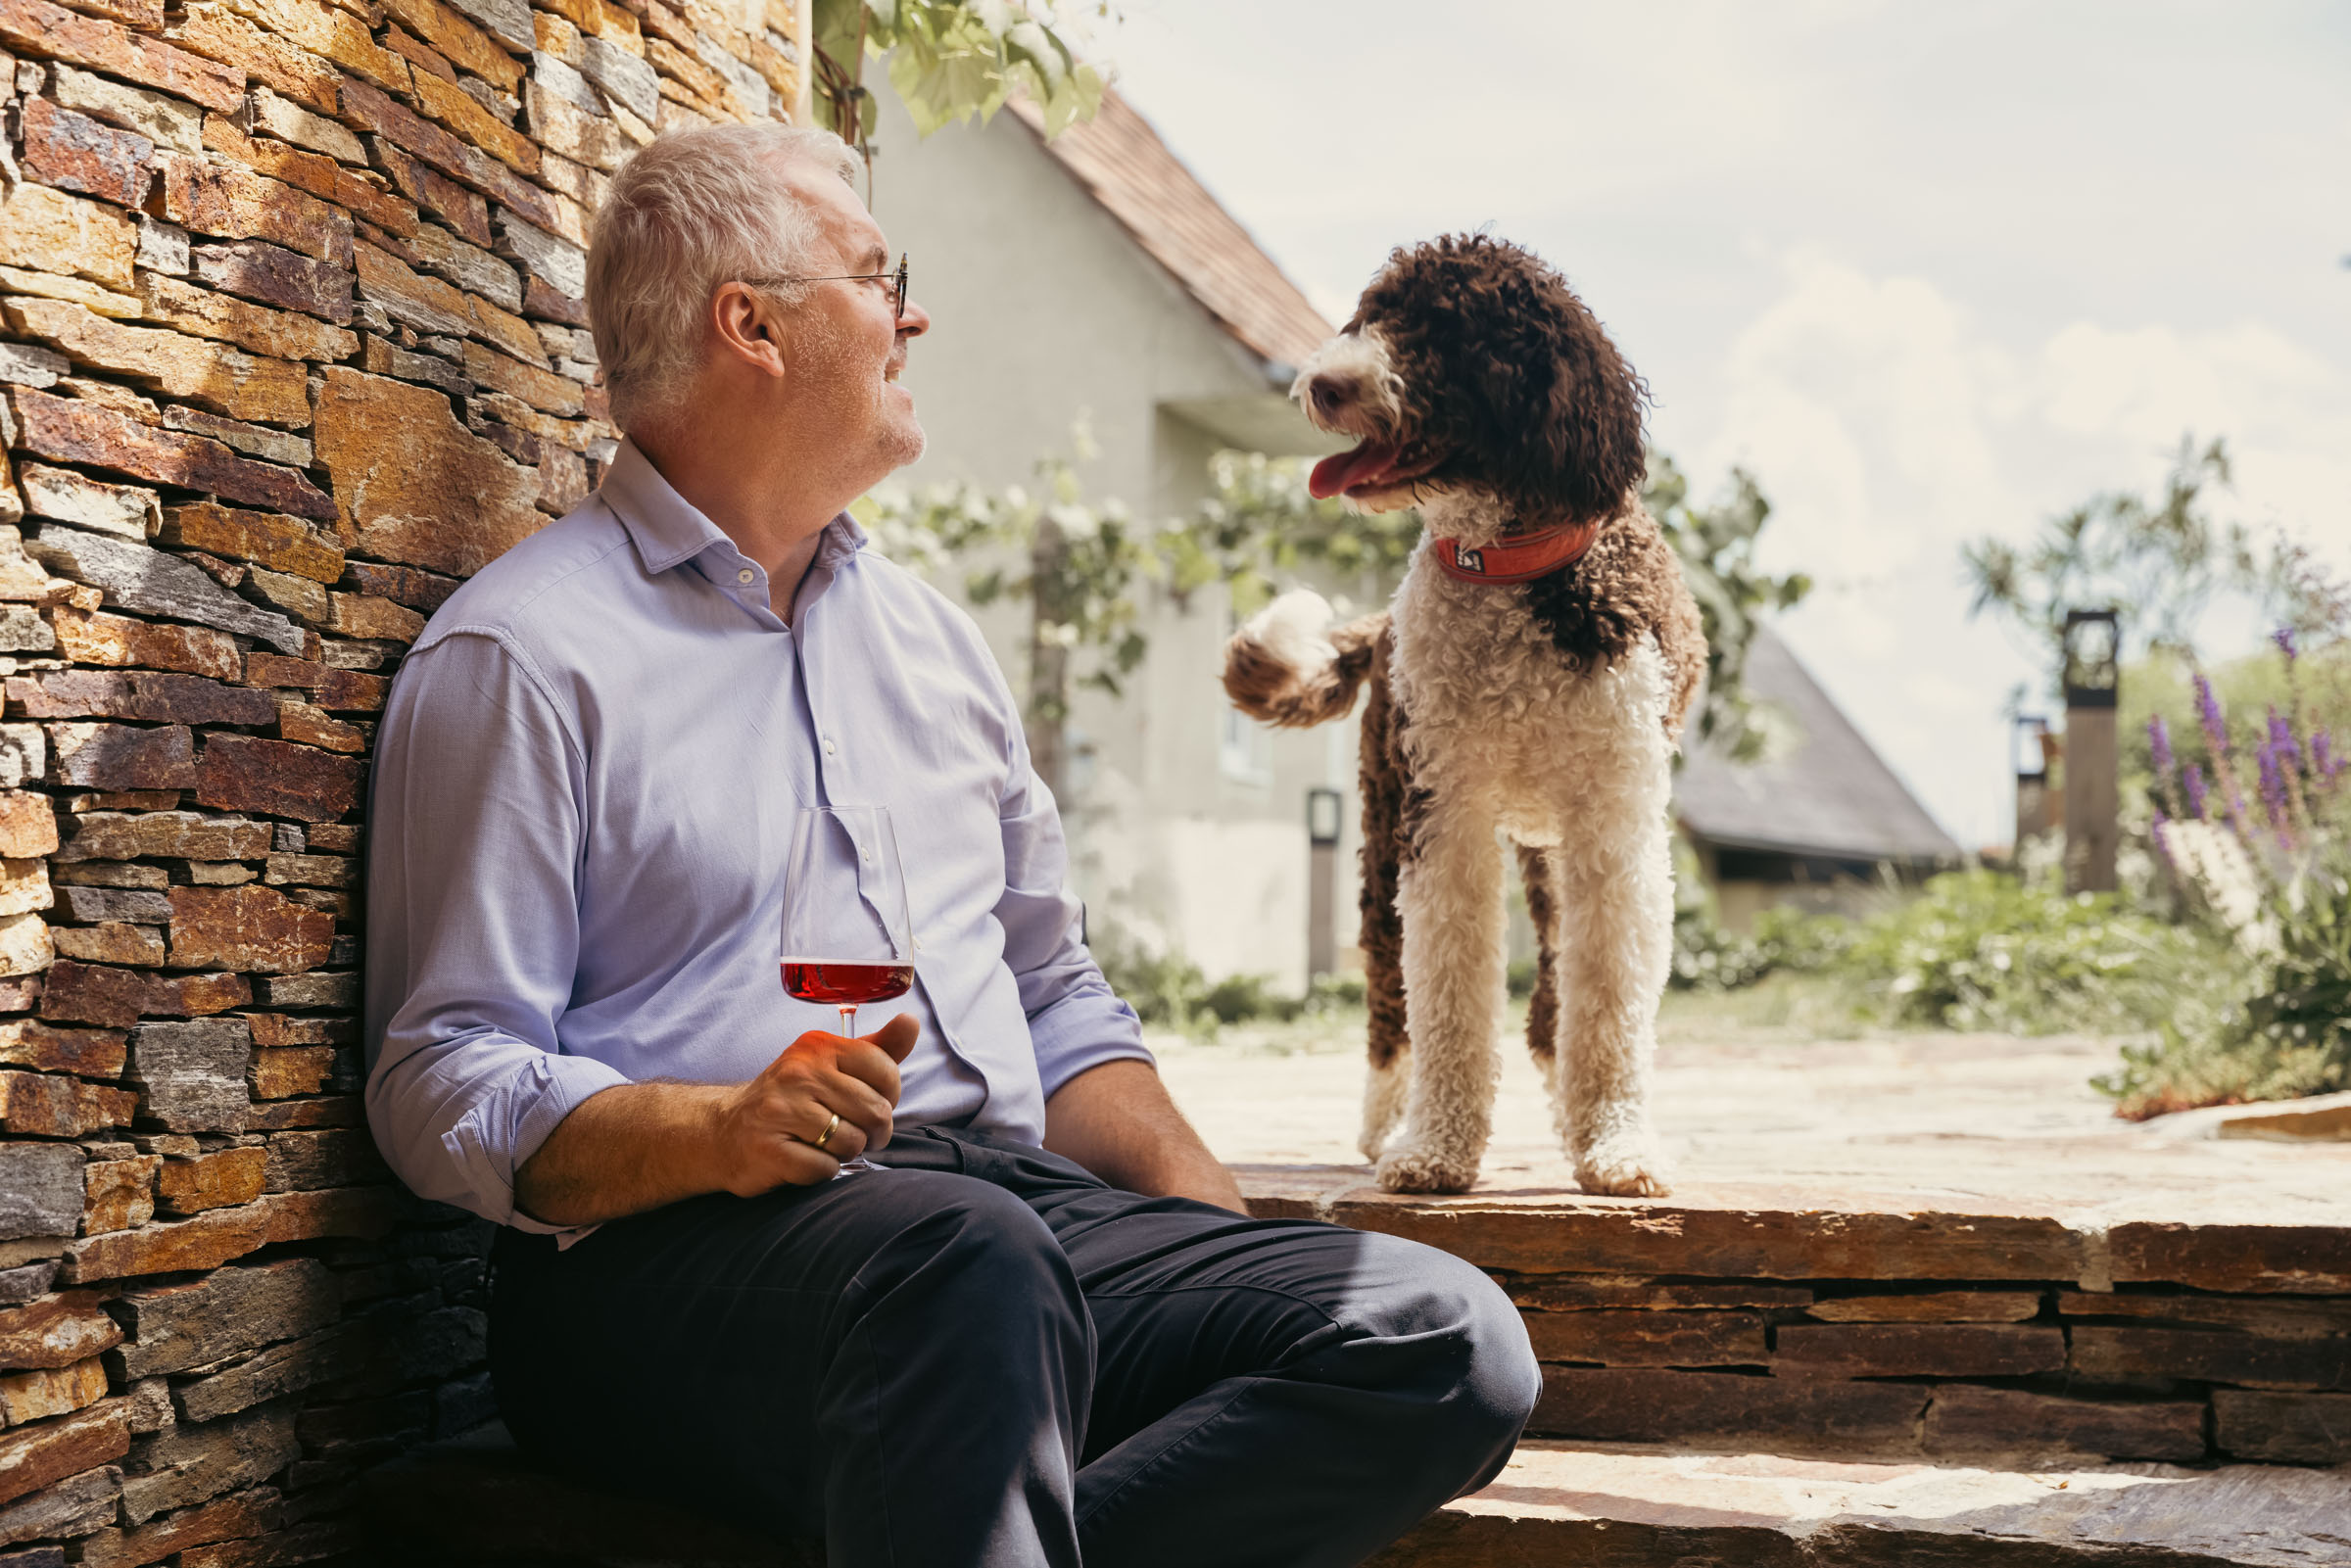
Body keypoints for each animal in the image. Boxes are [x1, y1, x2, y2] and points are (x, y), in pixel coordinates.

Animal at [1223, 232, 1702, 1194]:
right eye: (1370, 315)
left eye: (1451, 334)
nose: (1323, 383)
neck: (1506, 563)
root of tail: (1376, 629)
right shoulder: (1443, 817)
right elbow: (1446, 987)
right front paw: (1436, 1147)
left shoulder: (1615, 826)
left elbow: (1608, 998)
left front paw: (1617, 1143)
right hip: (1381, 835)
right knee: (1387, 998)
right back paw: (1386, 1124)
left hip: (1547, 850)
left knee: (1552, 996)